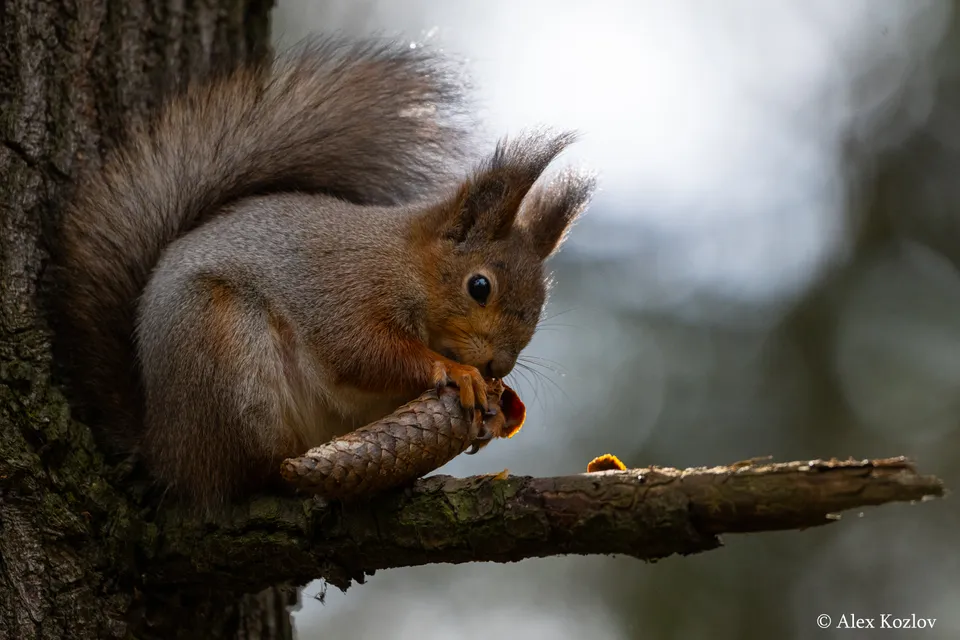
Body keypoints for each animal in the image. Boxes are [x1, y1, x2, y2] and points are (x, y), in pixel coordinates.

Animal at [53, 36, 595, 511]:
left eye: (540, 304)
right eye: (479, 286)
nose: (499, 366)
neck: (407, 265)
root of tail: (163, 446)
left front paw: (506, 405)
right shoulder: (347, 289)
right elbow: (361, 352)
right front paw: (457, 372)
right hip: (221, 346)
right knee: (242, 473)